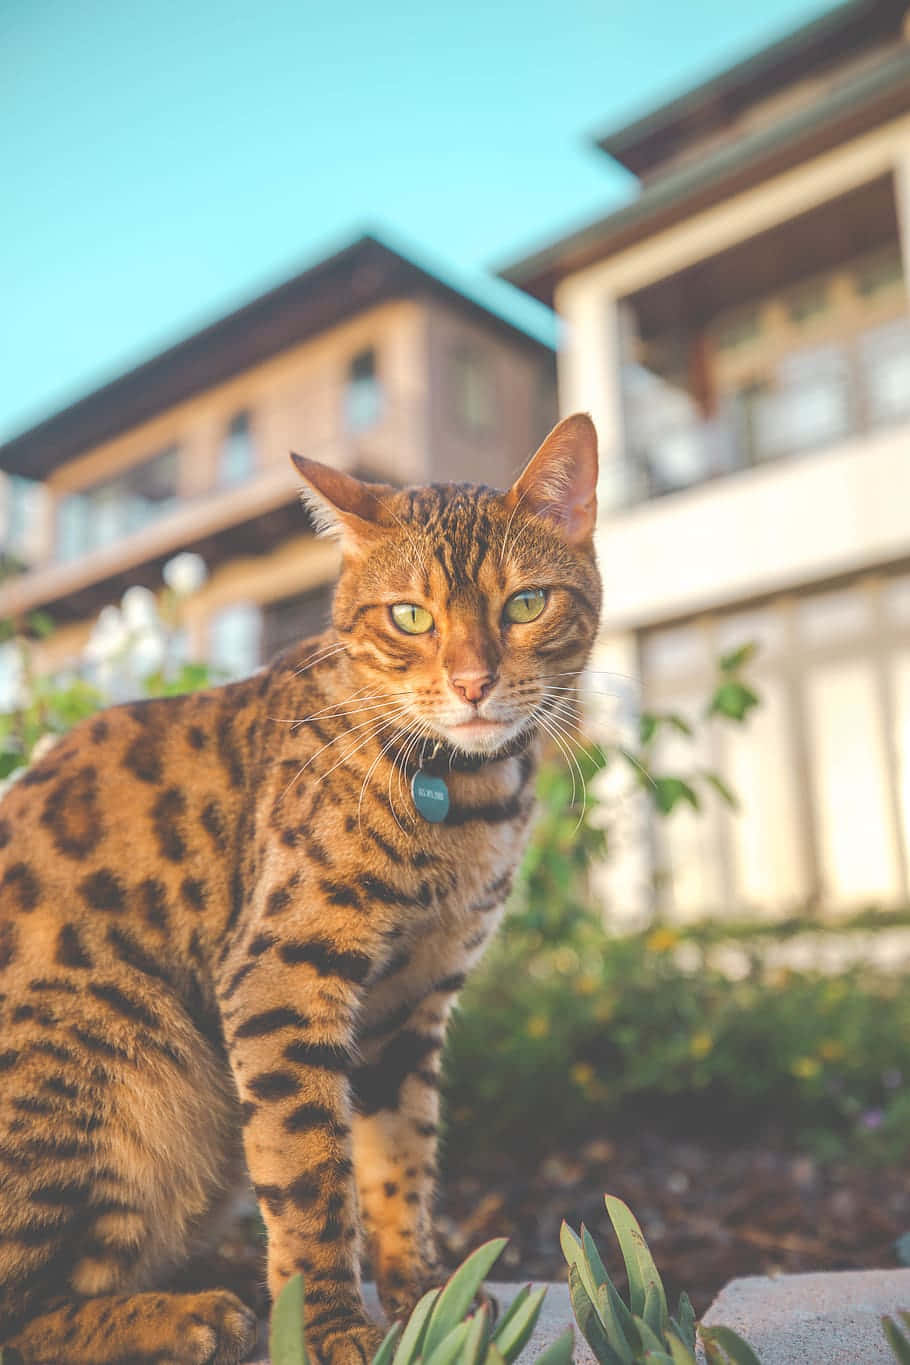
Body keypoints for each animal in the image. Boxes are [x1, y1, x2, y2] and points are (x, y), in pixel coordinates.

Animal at [0, 409, 605, 1359]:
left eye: (526, 603)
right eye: (409, 616)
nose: (472, 683)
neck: (462, 804)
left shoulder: (411, 999)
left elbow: (399, 1157)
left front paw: (424, 1293)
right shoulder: (283, 975)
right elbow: (309, 1170)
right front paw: (328, 1322)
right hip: (112, 1064)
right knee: (25, 1311)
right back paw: (185, 1314)